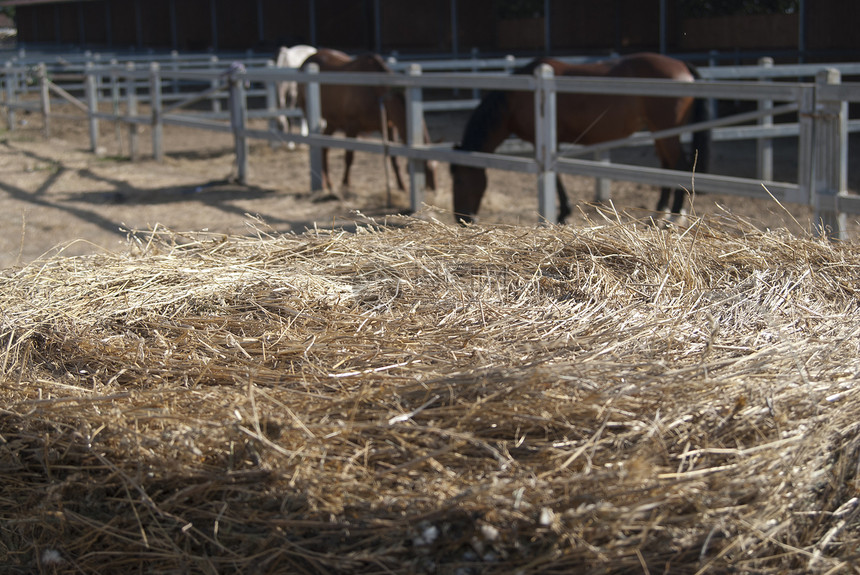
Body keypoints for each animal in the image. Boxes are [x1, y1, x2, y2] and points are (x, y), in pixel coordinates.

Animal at [298, 49, 436, 194]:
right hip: (311, 114)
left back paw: (328, 183)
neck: (375, 90)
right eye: (427, 169)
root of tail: (307, 61)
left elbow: (394, 159)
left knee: (324, 147)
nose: (434, 188)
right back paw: (324, 183)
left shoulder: (389, 127)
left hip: (333, 122)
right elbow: (349, 157)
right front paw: (345, 184)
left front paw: (402, 186)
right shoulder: (352, 126)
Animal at [450, 52, 712, 225]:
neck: (517, 98)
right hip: (660, 132)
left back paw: (674, 218)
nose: (461, 218)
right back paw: (659, 213)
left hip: (667, 132)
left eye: (459, 180)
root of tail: (682, 65)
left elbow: (556, 179)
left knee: (679, 165)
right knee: (667, 167)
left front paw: (563, 214)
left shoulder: (544, 141)